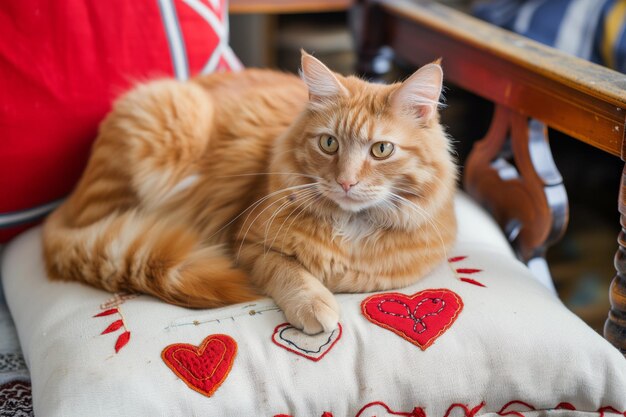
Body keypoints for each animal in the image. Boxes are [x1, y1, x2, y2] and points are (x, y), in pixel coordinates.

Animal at [42, 50, 454, 334]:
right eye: (329, 144)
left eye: (381, 150)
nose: (346, 182)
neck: (349, 228)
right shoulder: (249, 244)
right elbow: (292, 273)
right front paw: (315, 303)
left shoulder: (394, 275)